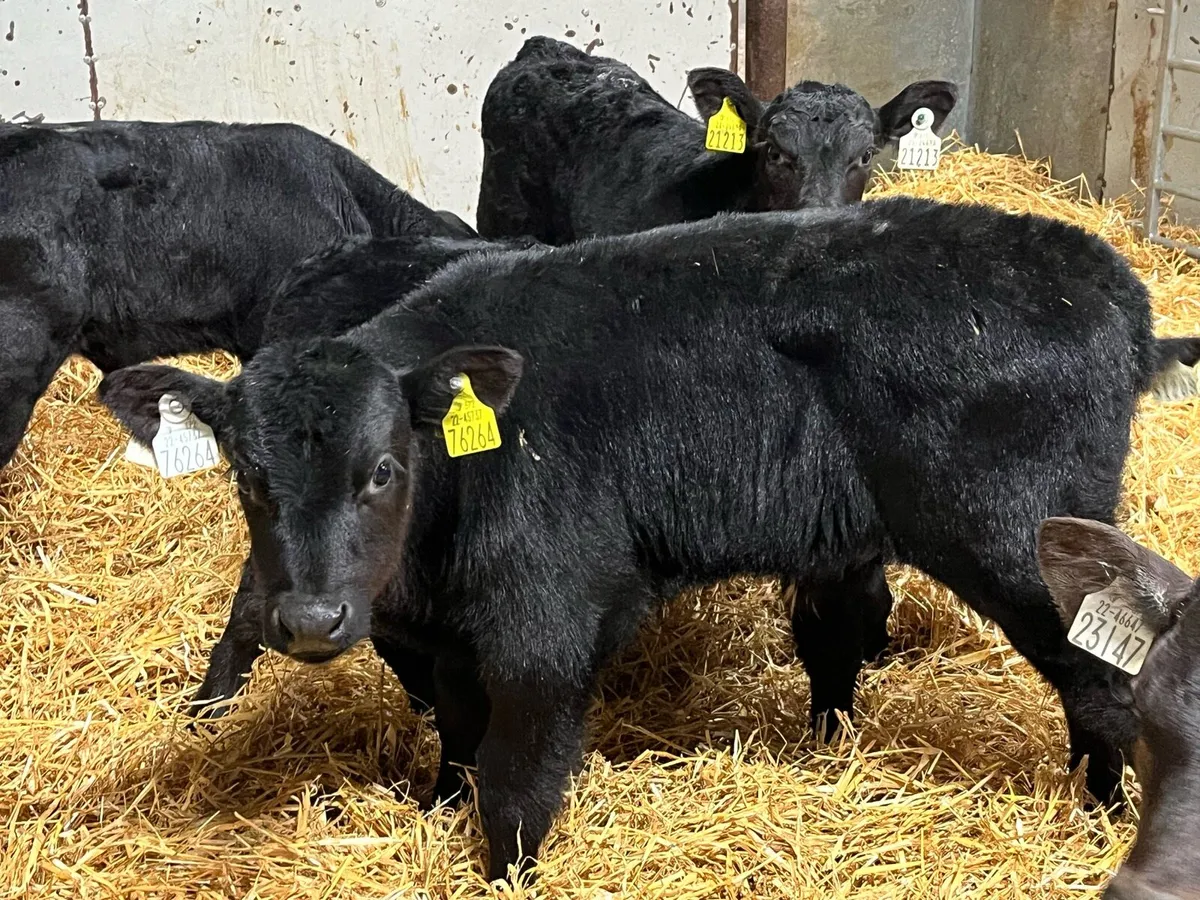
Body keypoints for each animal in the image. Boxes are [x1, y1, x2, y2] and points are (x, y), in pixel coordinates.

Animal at [99, 198, 1191, 881]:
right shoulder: (436, 637)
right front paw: (433, 812)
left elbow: (515, 782)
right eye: (247, 476)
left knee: (1098, 677)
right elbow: (456, 743)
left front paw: (502, 874)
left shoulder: (546, 627)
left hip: (1024, 542)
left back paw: (1099, 813)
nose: (315, 618)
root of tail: (1105, 281)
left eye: (380, 471)